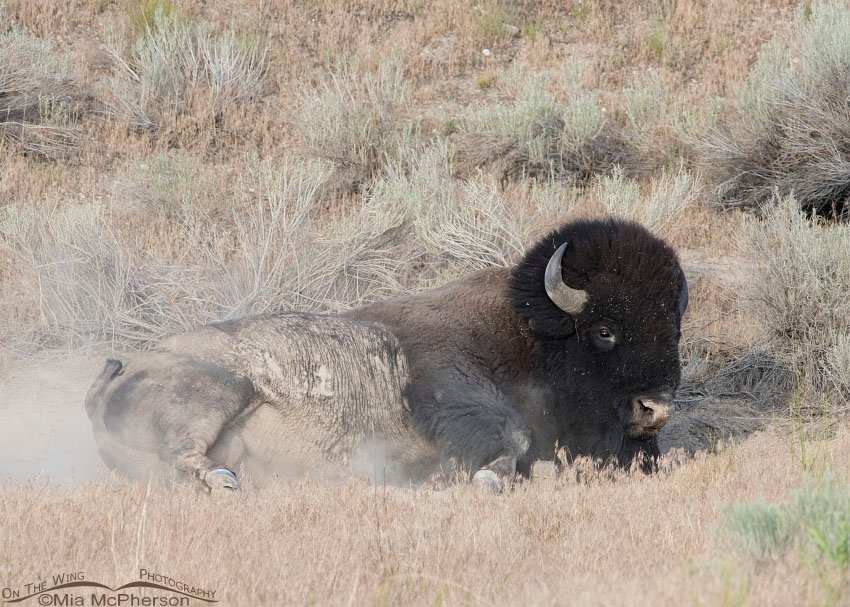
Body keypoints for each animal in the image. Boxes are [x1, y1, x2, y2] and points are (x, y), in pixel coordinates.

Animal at [85, 218, 688, 493]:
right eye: (605, 330)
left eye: (673, 324)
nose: (655, 409)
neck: (527, 335)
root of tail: (124, 369)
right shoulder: (455, 392)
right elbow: (509, 439)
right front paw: (482, 478)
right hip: (219, 389)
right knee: (185, 453)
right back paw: (225, 481)